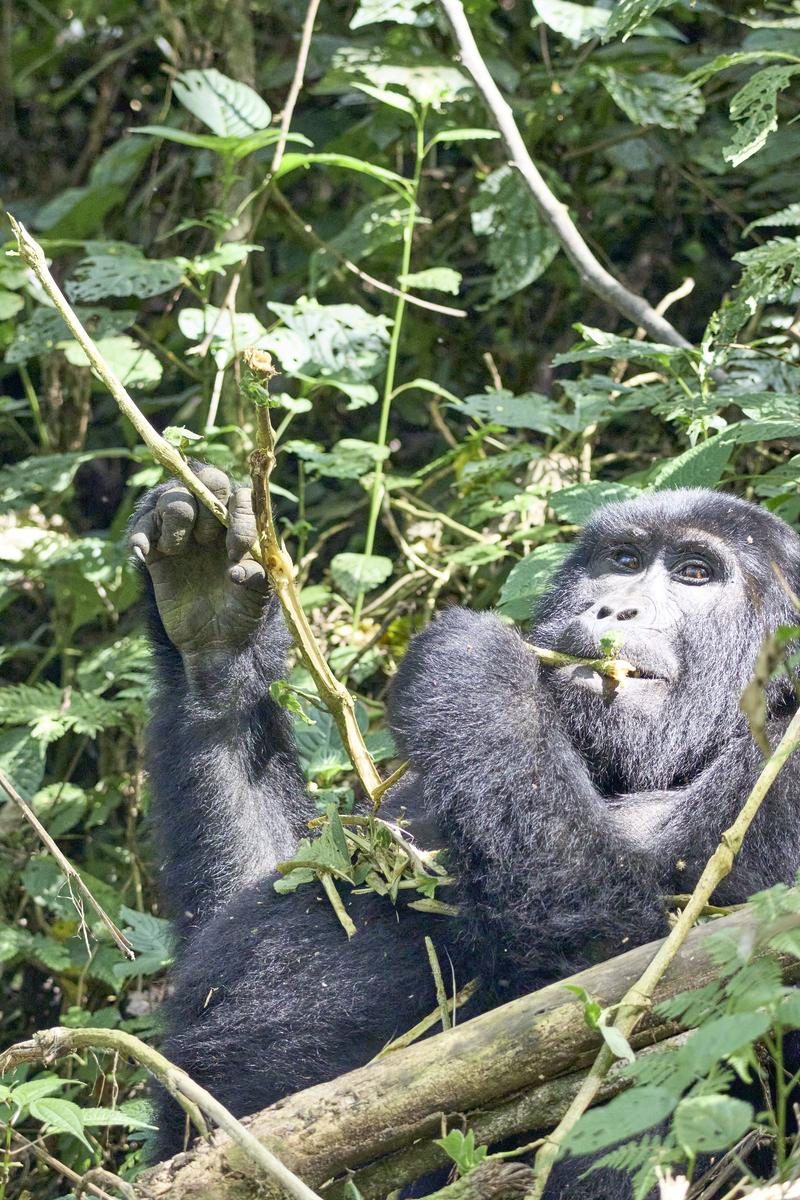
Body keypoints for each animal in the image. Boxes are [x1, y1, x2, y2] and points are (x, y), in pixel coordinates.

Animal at [130, 470, 800, 1190]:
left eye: (695, 573)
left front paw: (479, 668)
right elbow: (294, 874)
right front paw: (218, 630)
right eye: (622, 560)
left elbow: (639, 977)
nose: (614, 610)